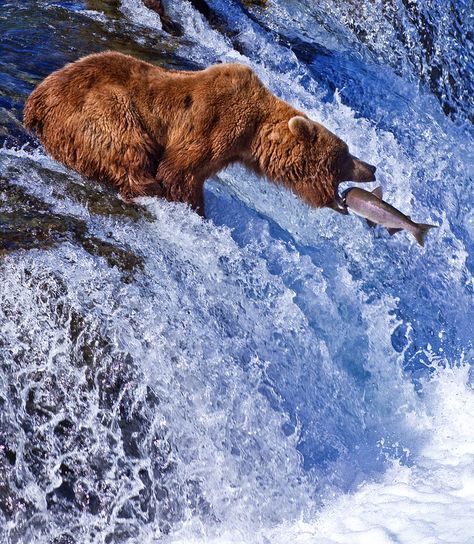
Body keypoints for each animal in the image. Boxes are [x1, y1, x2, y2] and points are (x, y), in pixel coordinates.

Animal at [24, 51, 376, 216]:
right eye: (345, 154)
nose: (372, 167)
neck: (252, 137)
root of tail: (35, 103)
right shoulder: (214, 124)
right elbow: (179, 172)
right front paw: (192, 208)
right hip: (101, 109)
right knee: (127, 148)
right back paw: (144, 186)